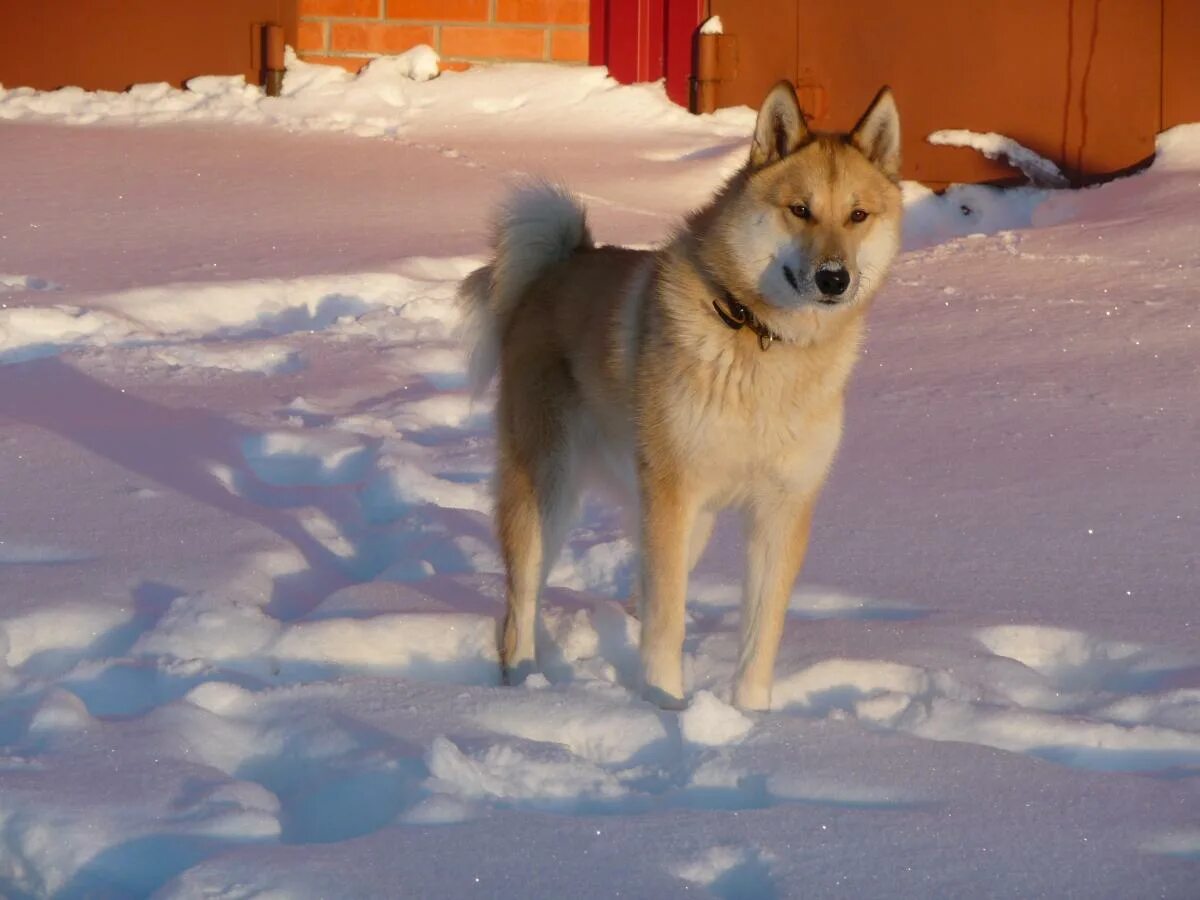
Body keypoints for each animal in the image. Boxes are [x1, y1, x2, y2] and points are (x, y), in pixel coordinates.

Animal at [458, 79, 902, 710]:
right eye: (800, 209)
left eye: (858, 215)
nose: (834, 278)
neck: (761, 340)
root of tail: (557, 266)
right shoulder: (673, 495)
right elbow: (667, 625)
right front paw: (667, 707)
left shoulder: (781, 509)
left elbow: (759, 636)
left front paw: (751, 717)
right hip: (548, 488)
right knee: (520, 605)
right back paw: (524, 685)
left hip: (690, 521)